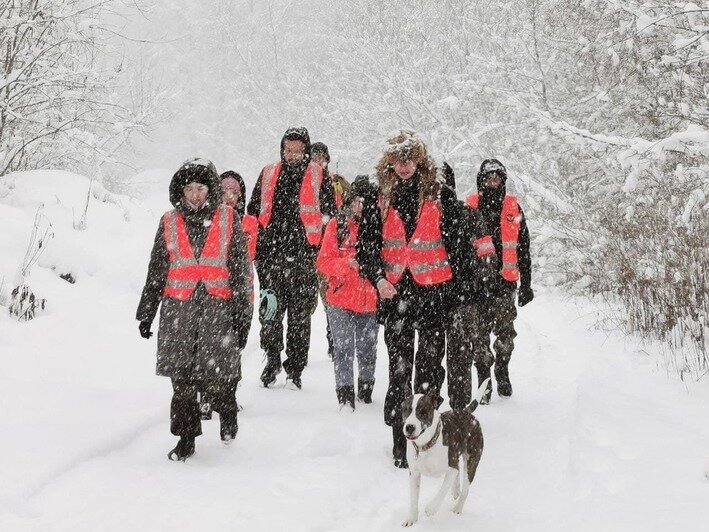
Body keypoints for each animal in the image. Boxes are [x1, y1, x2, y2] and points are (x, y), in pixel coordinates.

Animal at [398, 380, 486, 524]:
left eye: (422, 412)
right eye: (406, 409)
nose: (409, 427)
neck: (426, 445)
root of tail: (466, 412)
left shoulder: (451, 467)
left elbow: (442, 490)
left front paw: (431, 509)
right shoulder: (414, 473)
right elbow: (413, 498)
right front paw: (412, 519)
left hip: (472, 460)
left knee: (465, 488)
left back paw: (457, 508)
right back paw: (455, 490)